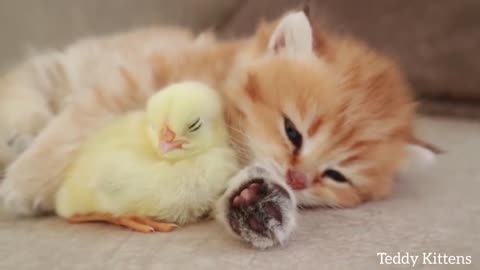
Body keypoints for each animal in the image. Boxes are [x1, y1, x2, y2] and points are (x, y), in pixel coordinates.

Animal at [0, 10, 434, 247]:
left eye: (336, 176)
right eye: (293, 132)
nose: (298, 180)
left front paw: (262, 204)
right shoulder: (133, 80)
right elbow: (75, 126)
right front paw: (23, 184)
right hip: (60, 70)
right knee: (27, 87)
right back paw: (18, 141)